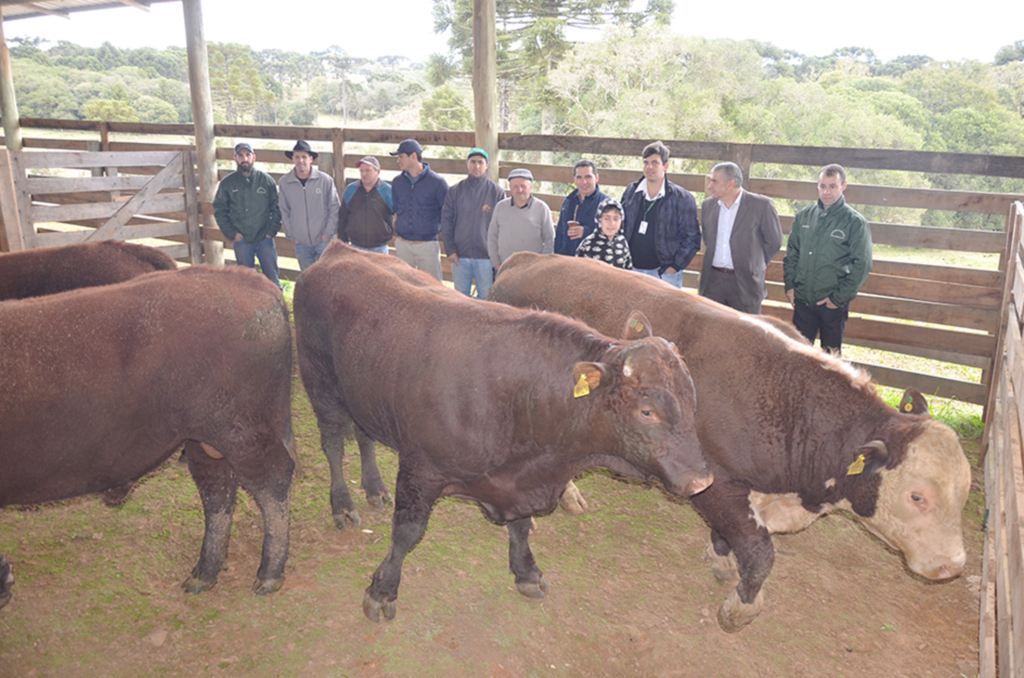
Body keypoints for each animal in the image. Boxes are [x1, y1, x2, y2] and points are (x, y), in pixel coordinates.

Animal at [0, 266, 296, 610]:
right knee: (218, 491)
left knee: (270, 482)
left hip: (241, 432)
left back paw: (268, 574)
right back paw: (203, 574)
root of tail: (243, 277)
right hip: (203, 440)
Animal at [294, 241, 712, 622]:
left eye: (691, 396)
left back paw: (374, 488)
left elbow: (521, 527)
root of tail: (338, 250)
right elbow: (407, 532)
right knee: (333, 444)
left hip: (362, 393)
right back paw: (343, 504)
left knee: (363, 436)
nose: (701, 479)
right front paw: (382, 590)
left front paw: (526, 572)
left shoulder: (518, 480)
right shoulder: (420, 468)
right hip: (321, 384)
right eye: (647, 411)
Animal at [485, 251, 966, 634]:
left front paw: (719, 558)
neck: (787, 398)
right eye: (917, 496)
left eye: (963, 494)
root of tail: (525, 258)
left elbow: (730, 538)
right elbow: (759, 553)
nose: (954, 566)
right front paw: (741, 607)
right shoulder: (715, 483)